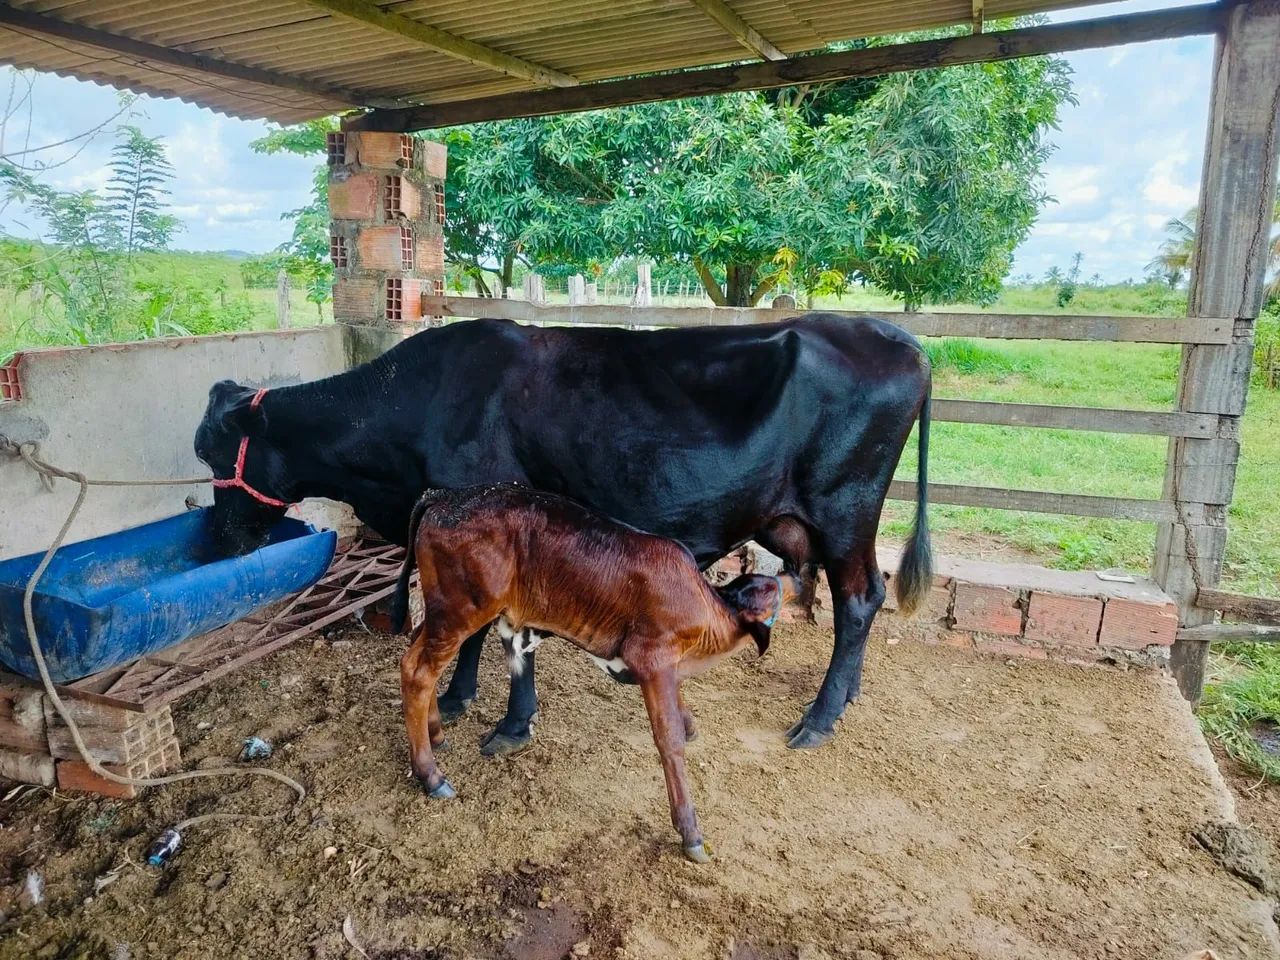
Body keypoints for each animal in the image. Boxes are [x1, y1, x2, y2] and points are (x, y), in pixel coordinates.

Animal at [193, 314, 933, 753]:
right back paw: (845, 695)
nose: (211, 543)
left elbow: (496, 629)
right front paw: (459, 697)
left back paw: (820, 718)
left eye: (214, 454)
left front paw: (506, 721)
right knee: (861, 601)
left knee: (860, 599)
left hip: (845, 509)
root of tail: (891, 335)